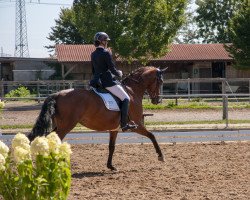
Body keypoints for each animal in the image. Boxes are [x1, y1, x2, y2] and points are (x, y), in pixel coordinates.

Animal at [27, 66, 166, 170]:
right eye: (160, 82)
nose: (157, 100)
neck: (132, 91)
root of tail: (57, 95)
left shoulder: (114, 129)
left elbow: (111, 147)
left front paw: (110, 166)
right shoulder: (136, 125)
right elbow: (152, 135)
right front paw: (161, 156)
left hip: (59, 125)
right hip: (66, 126)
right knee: (56, 141)